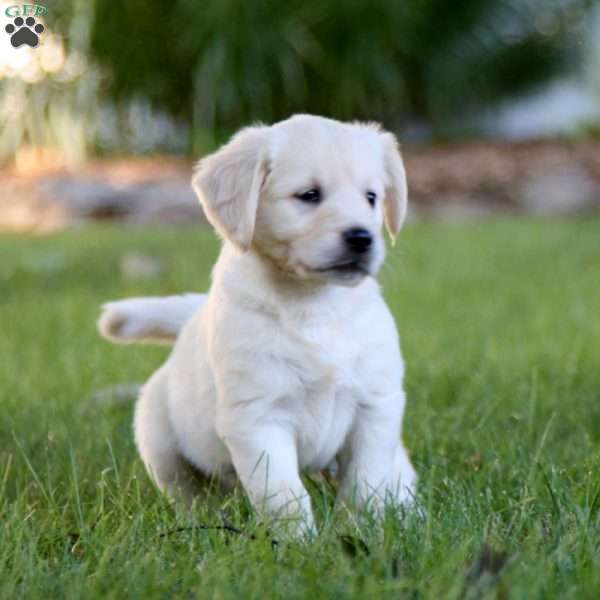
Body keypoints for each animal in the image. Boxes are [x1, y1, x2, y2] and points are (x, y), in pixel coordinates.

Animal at [98, 115, 418, 532]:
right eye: (309, 195)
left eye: (371, 197)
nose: (361, 238)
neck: (315, 305)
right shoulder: (258, 418)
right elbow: (284, 495)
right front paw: (299, 541)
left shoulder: (376, 405)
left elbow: (366, 481)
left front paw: (364, 531)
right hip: (159, 438)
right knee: (189, 492)